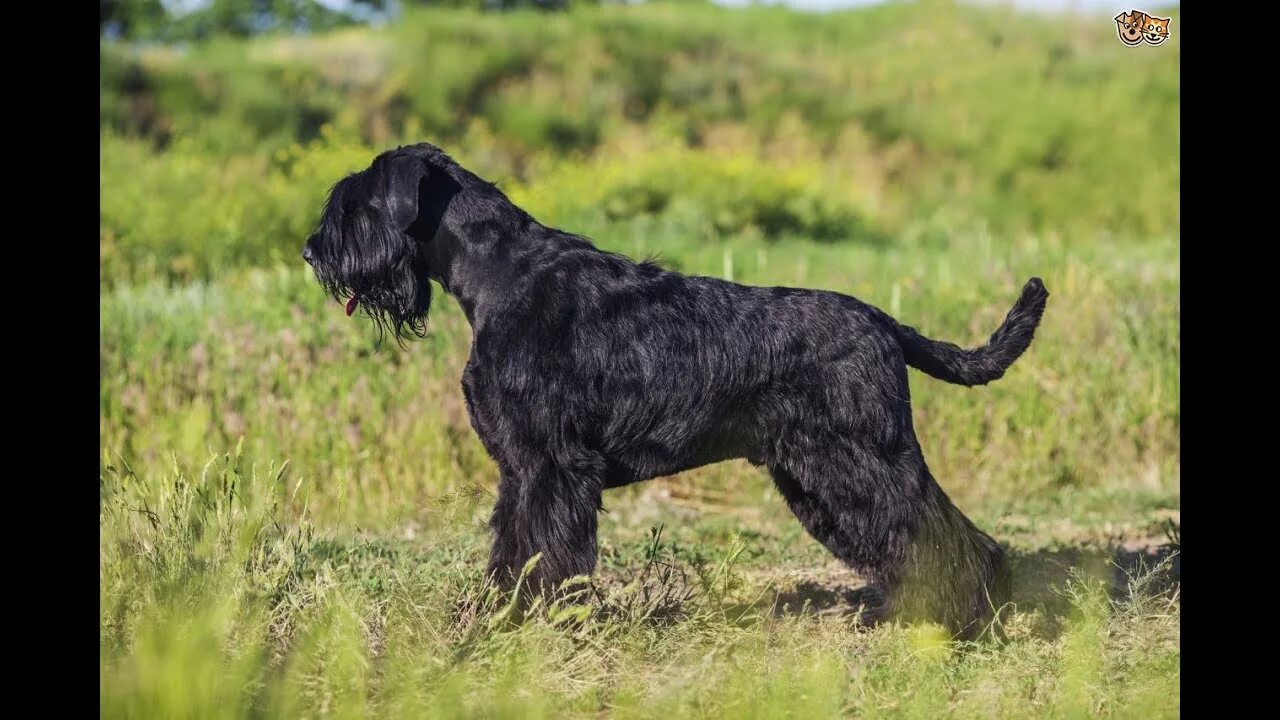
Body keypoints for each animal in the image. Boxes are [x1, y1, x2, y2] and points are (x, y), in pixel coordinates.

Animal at [302, 142, 1049, 635]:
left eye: (354, 205)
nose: (312, 252)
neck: (499, 274)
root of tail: (883, 323)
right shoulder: (521, 468)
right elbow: (514, 547)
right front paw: (499, 613)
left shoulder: (551, 465)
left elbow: (544, 549)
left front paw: (529, 623)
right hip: (818, 475)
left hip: (858, 461)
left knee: (942, 535)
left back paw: (957, 620)